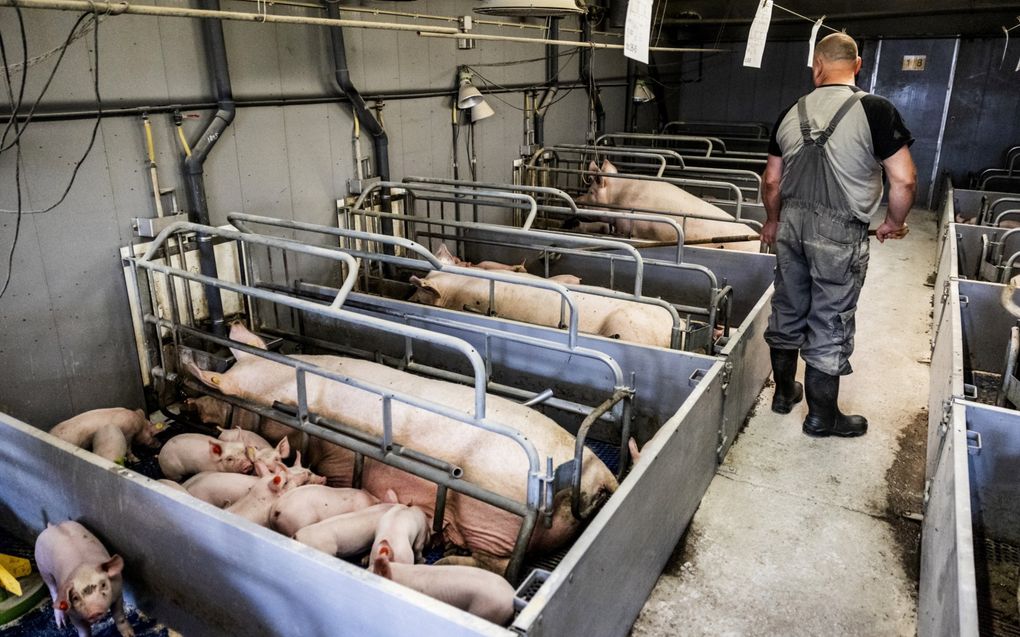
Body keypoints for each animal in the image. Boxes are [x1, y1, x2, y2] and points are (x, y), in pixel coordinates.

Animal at [189, 322, 620, 570]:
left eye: (217, 387)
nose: (192, 403)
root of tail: (588, 473)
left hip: (492, 521)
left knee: (500, 565)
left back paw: (449, 559)